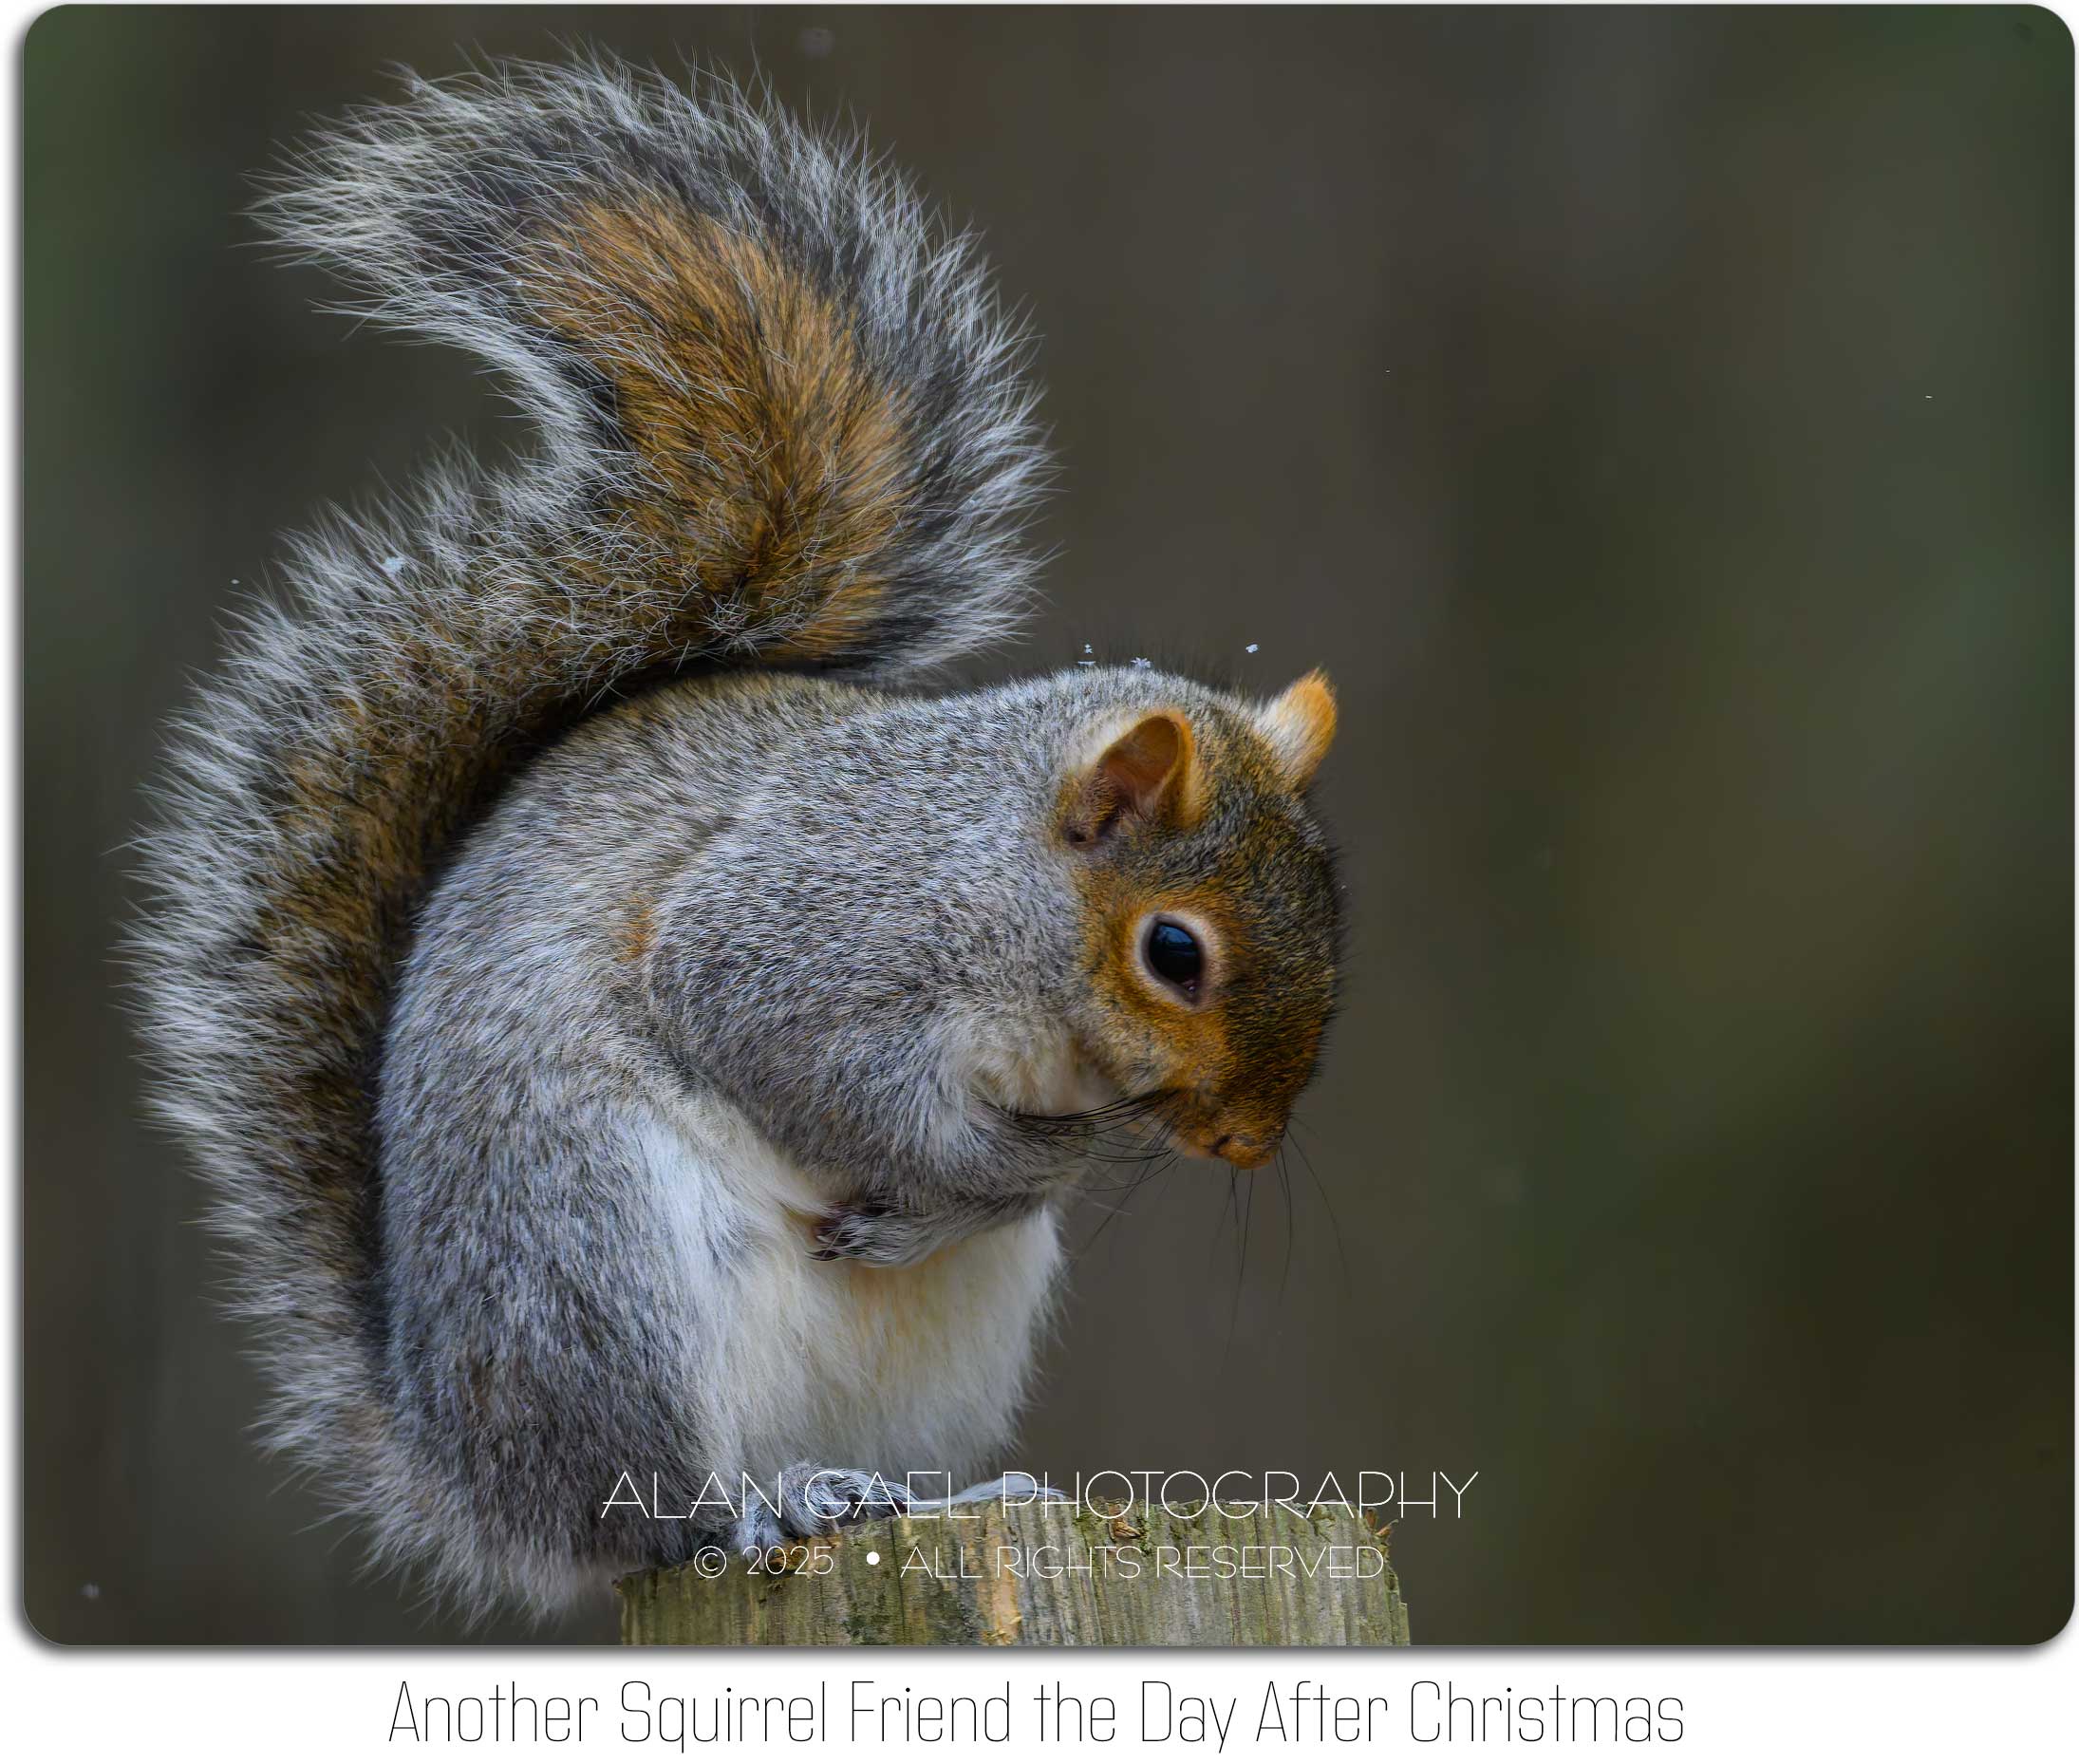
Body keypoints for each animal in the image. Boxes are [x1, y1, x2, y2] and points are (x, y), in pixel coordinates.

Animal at [132, 55, 1342, 1616]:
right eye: (1175, 953)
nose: (1248, 1142)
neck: (1003, 886)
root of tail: (475, 1468)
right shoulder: (811, 929)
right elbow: (790, 1054)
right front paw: (970, 1175)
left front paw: (1006, 1184)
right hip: (603, 1264)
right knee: (661, 1511)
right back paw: (767, 1504)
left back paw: (938, 1489)